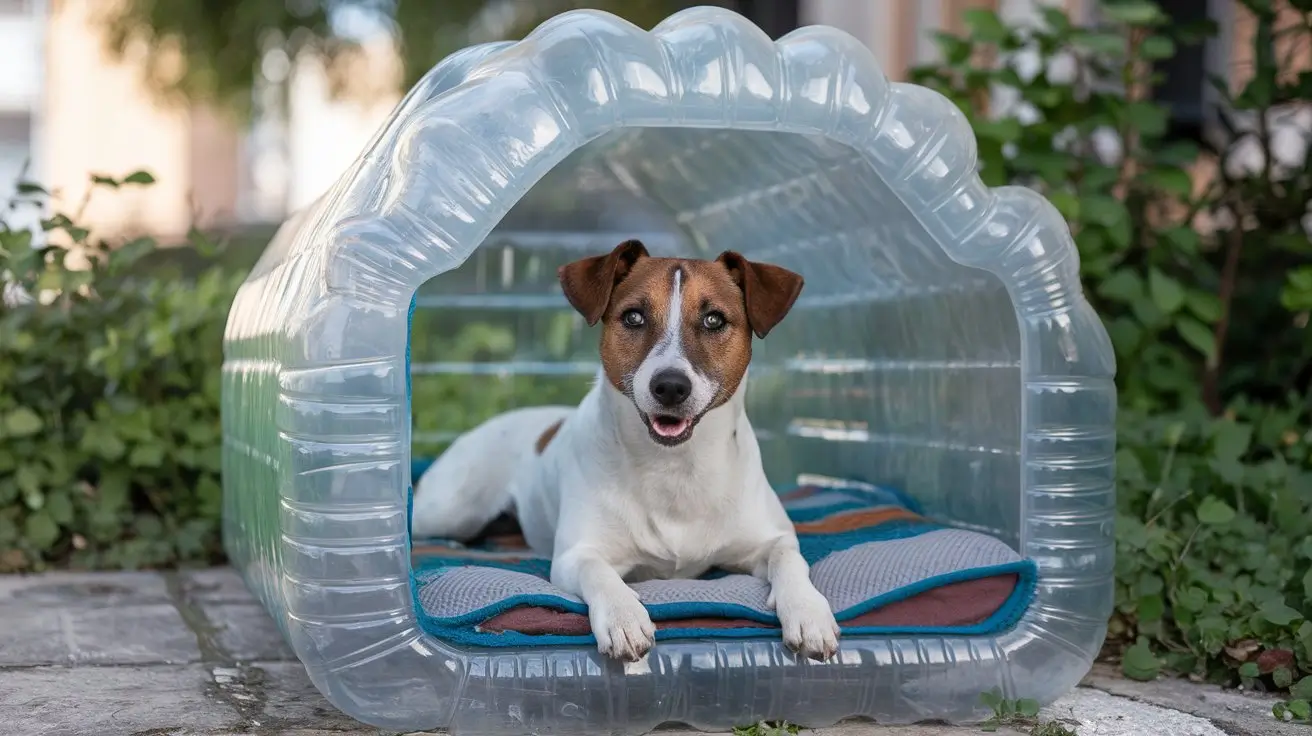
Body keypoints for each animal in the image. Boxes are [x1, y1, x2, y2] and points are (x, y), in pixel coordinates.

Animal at [411, 240, 839, 661]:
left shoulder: (773, 538)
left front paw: (808, 612)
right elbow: (599, 573)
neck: (675, 466)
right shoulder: (575, 555)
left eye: (714, 320)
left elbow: (790, 560)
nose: (670, 386)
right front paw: (624, 617)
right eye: (633, 317)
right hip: (451, 511)